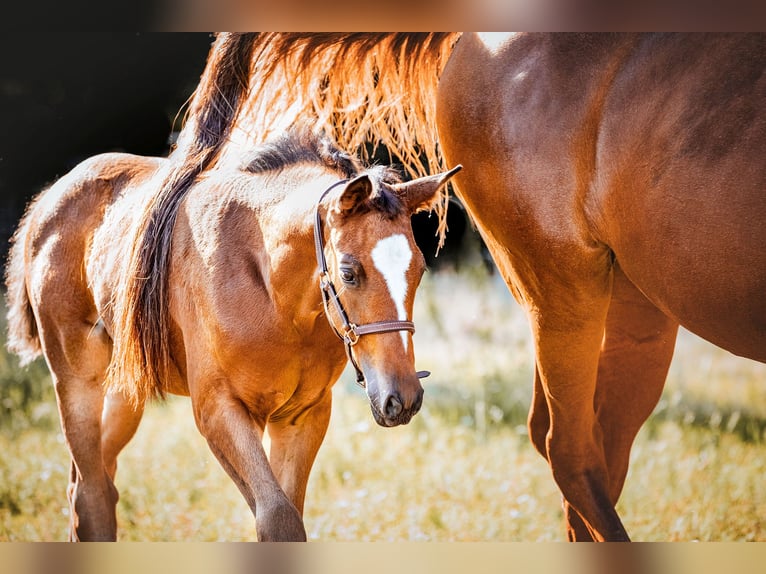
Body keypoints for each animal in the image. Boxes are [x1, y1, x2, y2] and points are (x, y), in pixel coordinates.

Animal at [3, 127, 460, 541]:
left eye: (419, 269)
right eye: (349, 272)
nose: (402, 398)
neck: (276, 294)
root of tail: (50, 198)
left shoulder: (302, 416)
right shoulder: (219, 410)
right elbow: (278, 519)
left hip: (123, 392)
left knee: (91, 482)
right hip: (77, 381)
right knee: (91, 494)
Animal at [171, 33, 766, 541]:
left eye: (418, 272)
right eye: (349, 273)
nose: (403, 399)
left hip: (634, 307)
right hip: (567, 289)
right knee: (571, 449)